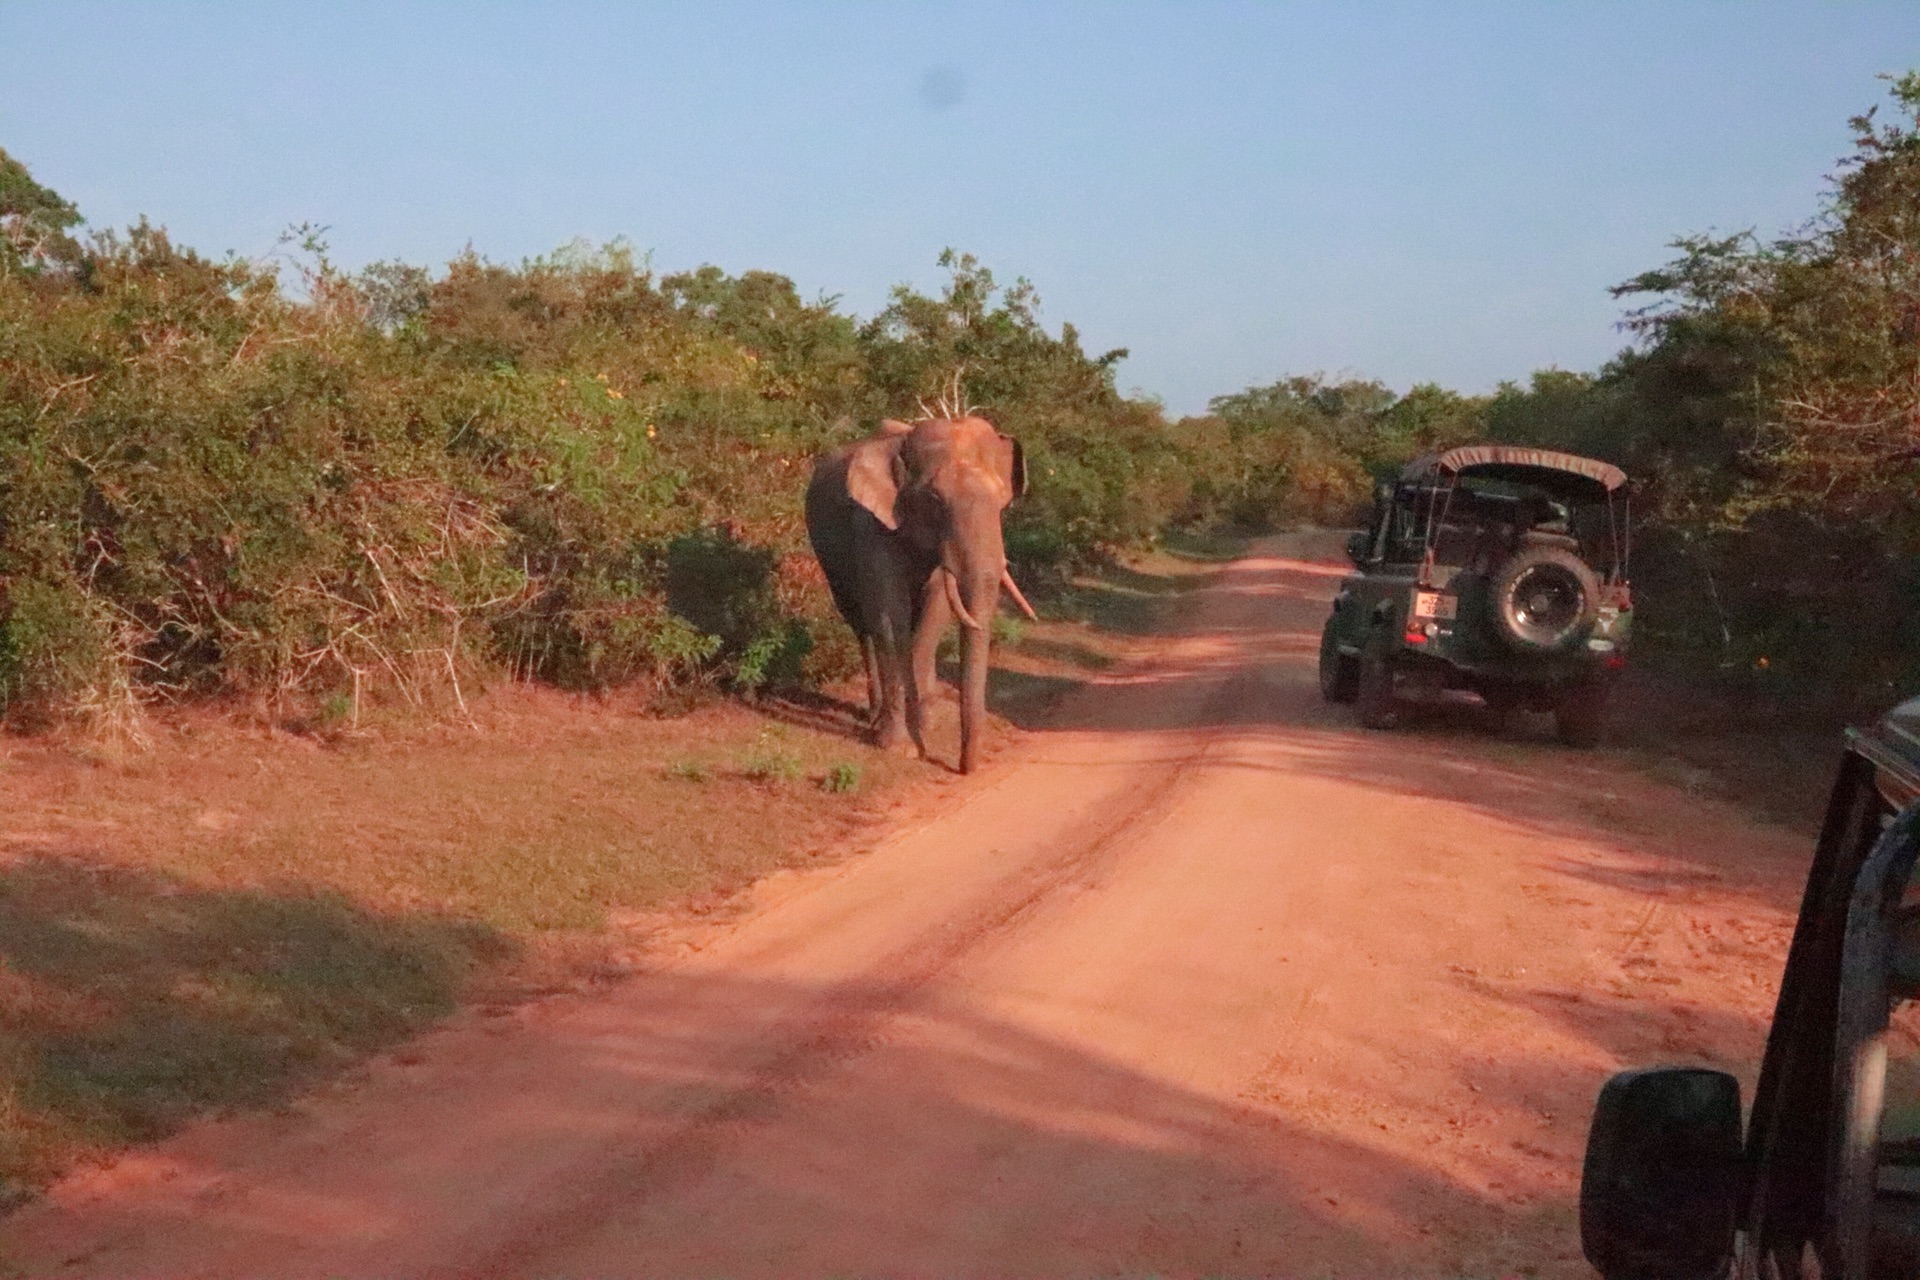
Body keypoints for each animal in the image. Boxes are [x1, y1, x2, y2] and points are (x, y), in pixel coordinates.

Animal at [806, 416, 1044, 771]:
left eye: (1003, 500)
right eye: (934, 498)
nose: (963, 769)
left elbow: (935, 608)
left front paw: (923, 727)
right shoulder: (872, 525)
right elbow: (890, 617)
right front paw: (900, 749)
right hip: (829, 559)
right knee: (861, 624)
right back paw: (873, 717)